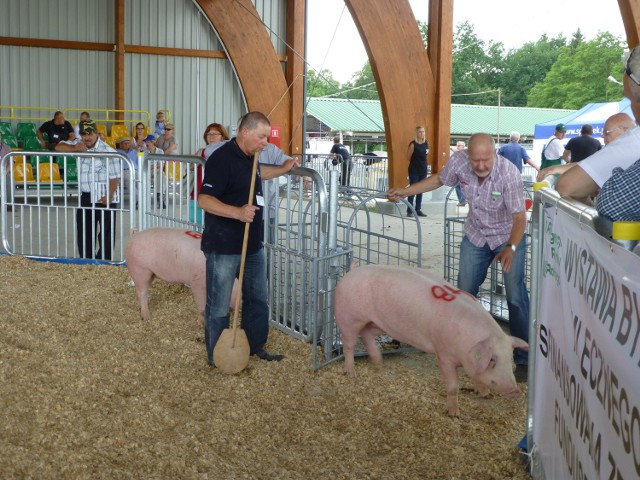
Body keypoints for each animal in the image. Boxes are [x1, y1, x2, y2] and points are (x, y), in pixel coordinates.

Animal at [332, 262, 528, 416]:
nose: (514, 390)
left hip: (378, 323)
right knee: (349, 345)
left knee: (366, 335)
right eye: (492, 360)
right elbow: (453, 386)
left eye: (510, 358)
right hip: (348, 318)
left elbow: (477, 377)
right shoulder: (444, 355)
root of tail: (351, 271)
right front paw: (454, 414)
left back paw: (378, 364)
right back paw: (351, 373)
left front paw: (486, 394)